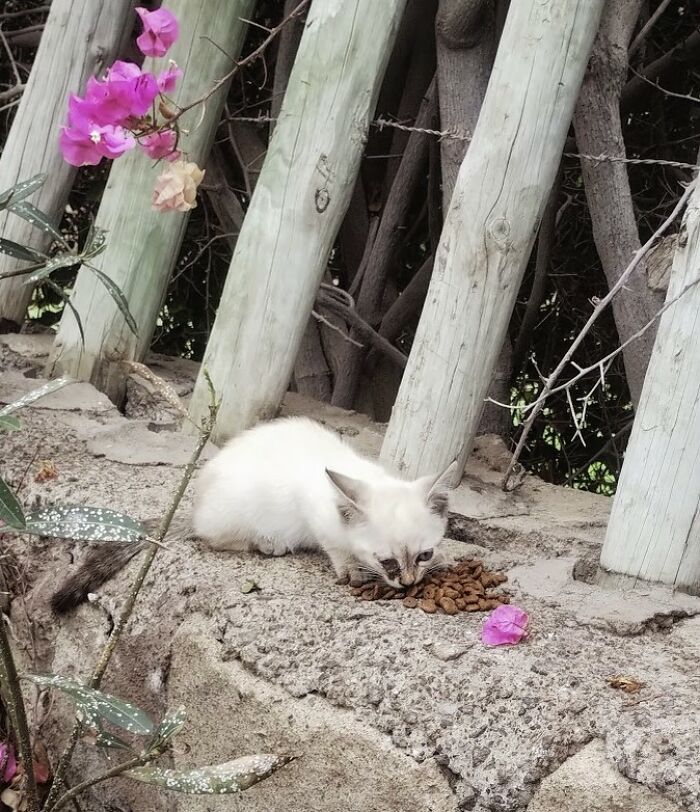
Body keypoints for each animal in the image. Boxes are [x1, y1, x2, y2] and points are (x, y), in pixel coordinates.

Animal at [191, 418, 454, 584]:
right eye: (386, 561)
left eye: (425, 555)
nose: (409, 583)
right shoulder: (312, 508)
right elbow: (334, 545)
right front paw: (351, 567)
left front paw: (442, 559)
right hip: (235, 510)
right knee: (212, 536)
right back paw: (269, 542)